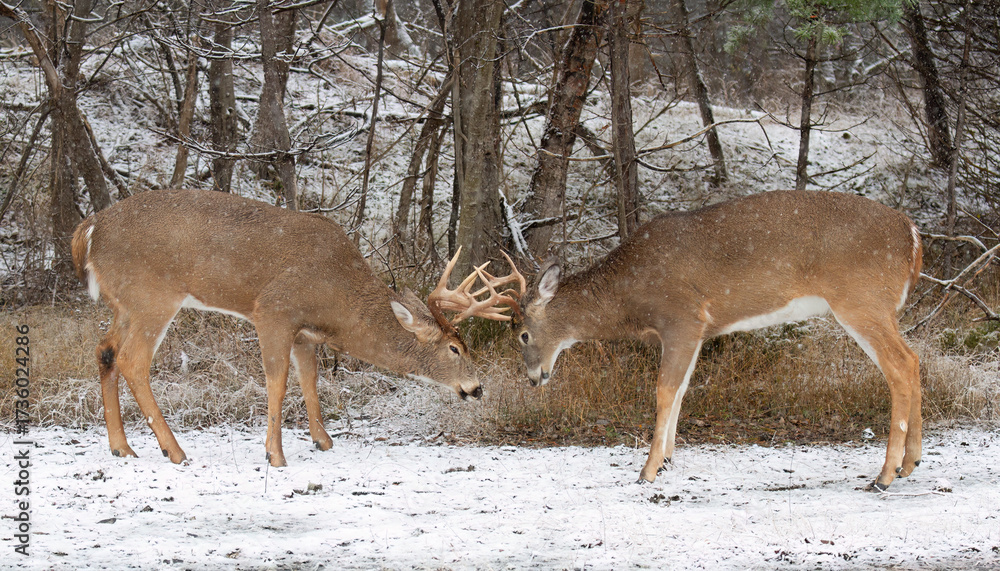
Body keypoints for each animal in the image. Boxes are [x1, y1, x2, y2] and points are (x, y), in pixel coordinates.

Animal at [71, 189, 523, 467]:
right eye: (455, 349)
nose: (476, 388)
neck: (337, 295)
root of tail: (89, 229)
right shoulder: (273, 310)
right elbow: (278, 380)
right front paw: (275, 455)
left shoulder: (305, 333)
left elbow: (310, 380)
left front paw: (324, 440)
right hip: (153, 297)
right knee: (133, 360)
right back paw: (175, 451)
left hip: (125, 304)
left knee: (104, 351)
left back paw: (122, 448)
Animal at [510, 190, 923, 491]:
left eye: (523, 334)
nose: (533, 378)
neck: (630, 292)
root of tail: (913, 236)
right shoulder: (698, 331)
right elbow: (681, 390)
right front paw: (668, 459)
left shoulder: (681, 318)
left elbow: (664, 390)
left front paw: (647, 471)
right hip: (877, 306)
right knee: (914, 359)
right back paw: (910, 464)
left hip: (861, 300)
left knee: (900, 366)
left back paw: (884, 476)